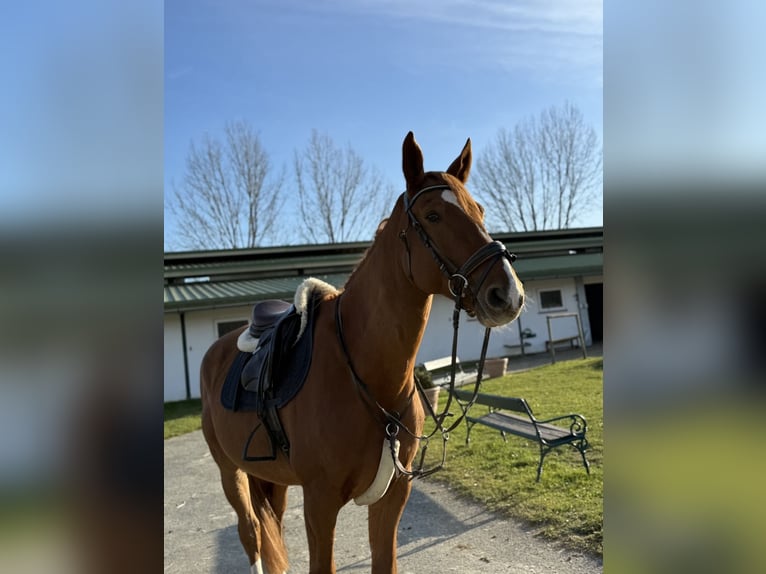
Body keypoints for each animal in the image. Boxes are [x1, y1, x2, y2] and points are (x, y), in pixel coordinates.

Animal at [200, 131, 525, 574]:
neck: (364, 374)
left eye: (479, 210)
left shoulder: (392, 498)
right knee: (251, 533)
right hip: (230, 472)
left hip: (272, 481)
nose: (507, 294)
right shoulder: (320, 504)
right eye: (432, 216)